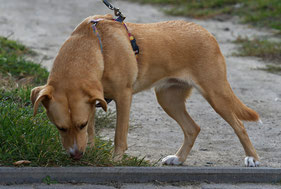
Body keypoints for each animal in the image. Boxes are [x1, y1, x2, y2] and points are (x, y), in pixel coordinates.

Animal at [30, 14, 258, 166]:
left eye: (80, 124)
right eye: (60, 128)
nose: (76, 156)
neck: (94, 47)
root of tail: (206, 33)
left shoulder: (123, 97)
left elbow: (119, 135)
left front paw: (116, 160)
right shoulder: (94, 101)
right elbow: (92, 132)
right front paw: (92, 151)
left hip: (216, 93)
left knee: (239, 126)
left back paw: (252, 158)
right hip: (168, 99)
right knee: (193, 128)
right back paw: (178, 158)